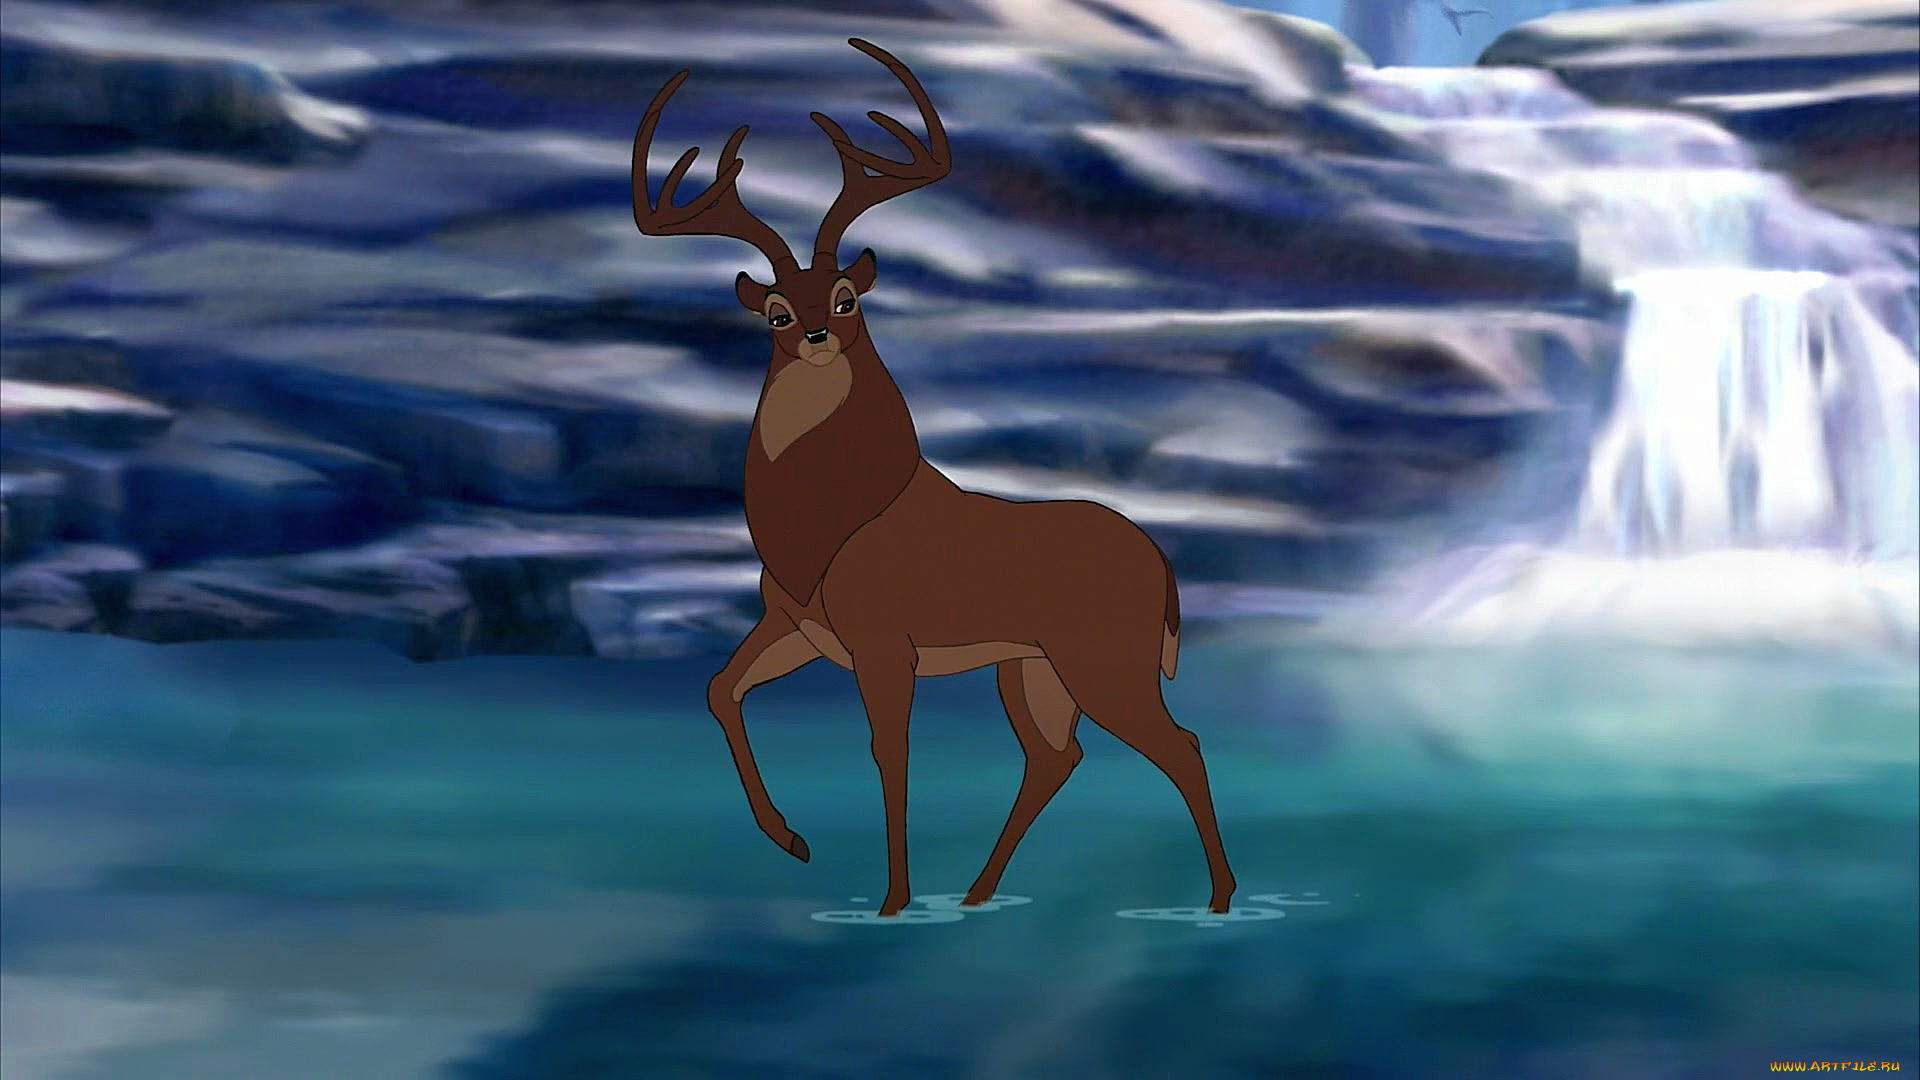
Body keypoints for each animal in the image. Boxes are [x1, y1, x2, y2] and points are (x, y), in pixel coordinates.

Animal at [630, 38, 1237, 918]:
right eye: (776, 311)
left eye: (845, 297)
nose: (815, 336)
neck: (832, 525)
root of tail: (1162, 563)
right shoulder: (798, 625)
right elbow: (720, 689)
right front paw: (794, 841)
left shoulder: (885, 641)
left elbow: (889, 751)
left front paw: (890, 901)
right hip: (1032, 667)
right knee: (1059, 755)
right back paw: (979, 892)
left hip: (1101, 658)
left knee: (1178, 743)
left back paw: (1219, 899)